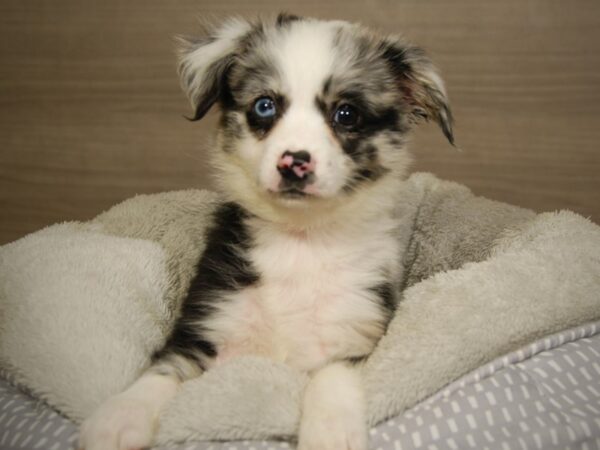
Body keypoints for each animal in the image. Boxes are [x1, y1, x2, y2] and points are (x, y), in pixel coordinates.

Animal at [81, 12, 454, 448]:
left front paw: (330, 429)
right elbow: (163, 369)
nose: (294, 162)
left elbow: (333, 377)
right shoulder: (206, 322)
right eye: (265, 105)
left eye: (347, 114)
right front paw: (121, 416)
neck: (300, 240)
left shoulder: (356, 329)